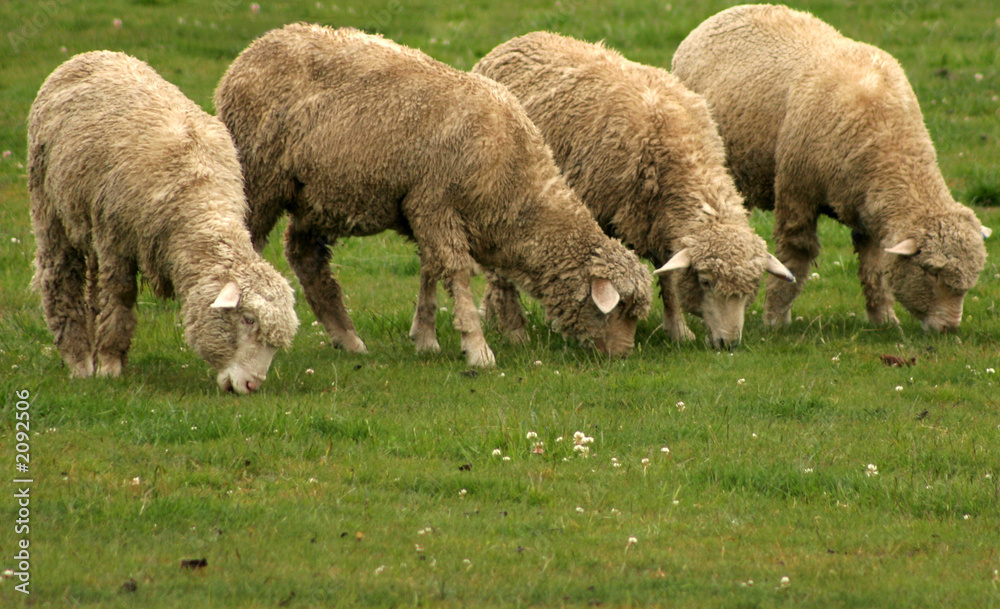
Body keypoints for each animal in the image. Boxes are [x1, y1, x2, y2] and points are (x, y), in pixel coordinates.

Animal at [28, 51, 299, 394]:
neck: (200, 199)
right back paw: (78, 358)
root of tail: (91, 55)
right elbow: (119, 297)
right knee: (60, 276)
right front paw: (110, 364)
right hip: (50, 206)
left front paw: (110, 356)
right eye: (248, 319)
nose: (252, 385)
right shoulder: (116, 241)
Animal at [213, 24, 652, 367]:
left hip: (317, 195)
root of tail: (249, 53)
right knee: (249, 242)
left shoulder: (423, 208)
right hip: (260, 176)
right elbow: (455, 274)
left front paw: (424, 336)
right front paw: (477, 348)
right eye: (618, 310)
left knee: (305, 256)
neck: (515, 185)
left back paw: (347, 338)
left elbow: (429, 269)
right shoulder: (436, 203)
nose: (624, 355)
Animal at [472, 31, 794, 349]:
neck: (683, 151)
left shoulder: (659, 224)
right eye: (705, 281)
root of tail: (514, 42)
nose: (729, 344)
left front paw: (678, 330)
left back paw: (490, 313)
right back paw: (512, 330)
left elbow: (668, 280)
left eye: (751, 288)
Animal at [672, 4, 991, 332]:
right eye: (930, 271)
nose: (949, 328)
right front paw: (775, 320)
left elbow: (874, 266)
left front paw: (883, 319)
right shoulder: (797, 192)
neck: (887, 138)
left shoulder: (868, 211)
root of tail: (729, 11)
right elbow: (795, 256)